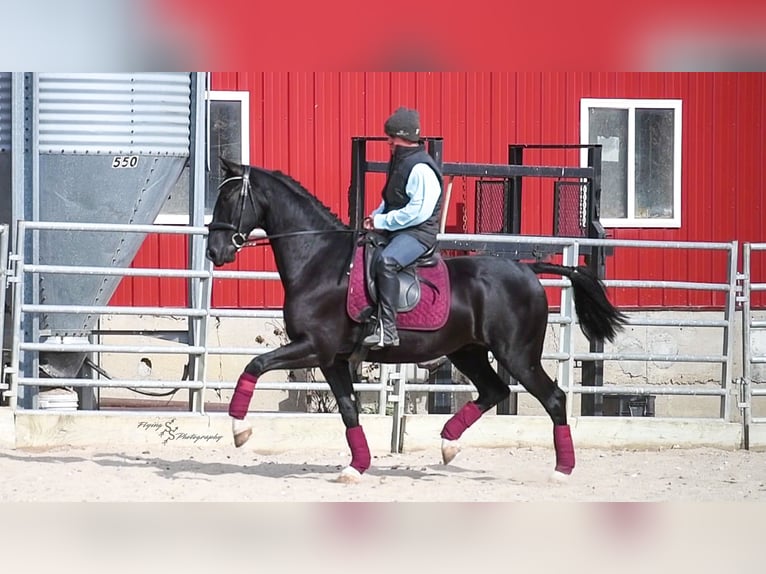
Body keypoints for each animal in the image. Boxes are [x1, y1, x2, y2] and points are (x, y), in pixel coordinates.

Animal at [206, 157, 627, 483]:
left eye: (228, 198)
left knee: (552, 398)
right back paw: (448, 444)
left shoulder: (313, 348)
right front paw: (356, 467)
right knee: (494, 391)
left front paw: (240, 430)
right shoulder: (332, 359)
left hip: (517, 355)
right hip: (467, 352)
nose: (214, 251)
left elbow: (254, 364)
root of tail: (528, 269)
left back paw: (561, 470)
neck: (320, 261)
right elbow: (348, 409)